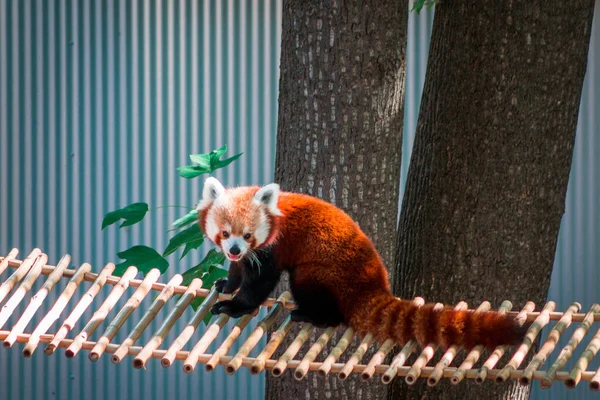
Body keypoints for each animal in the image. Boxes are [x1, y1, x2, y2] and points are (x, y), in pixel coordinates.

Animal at [197, 178, 524, 350]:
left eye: (247, 235)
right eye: (225, 234)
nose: (235, 249)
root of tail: (374, 284)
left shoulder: (272, 248)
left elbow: (259, 284)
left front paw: (235, 306)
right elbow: (238, 271)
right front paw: (227, 283)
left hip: (321, 274)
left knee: (314, 291)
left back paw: (311, 315)